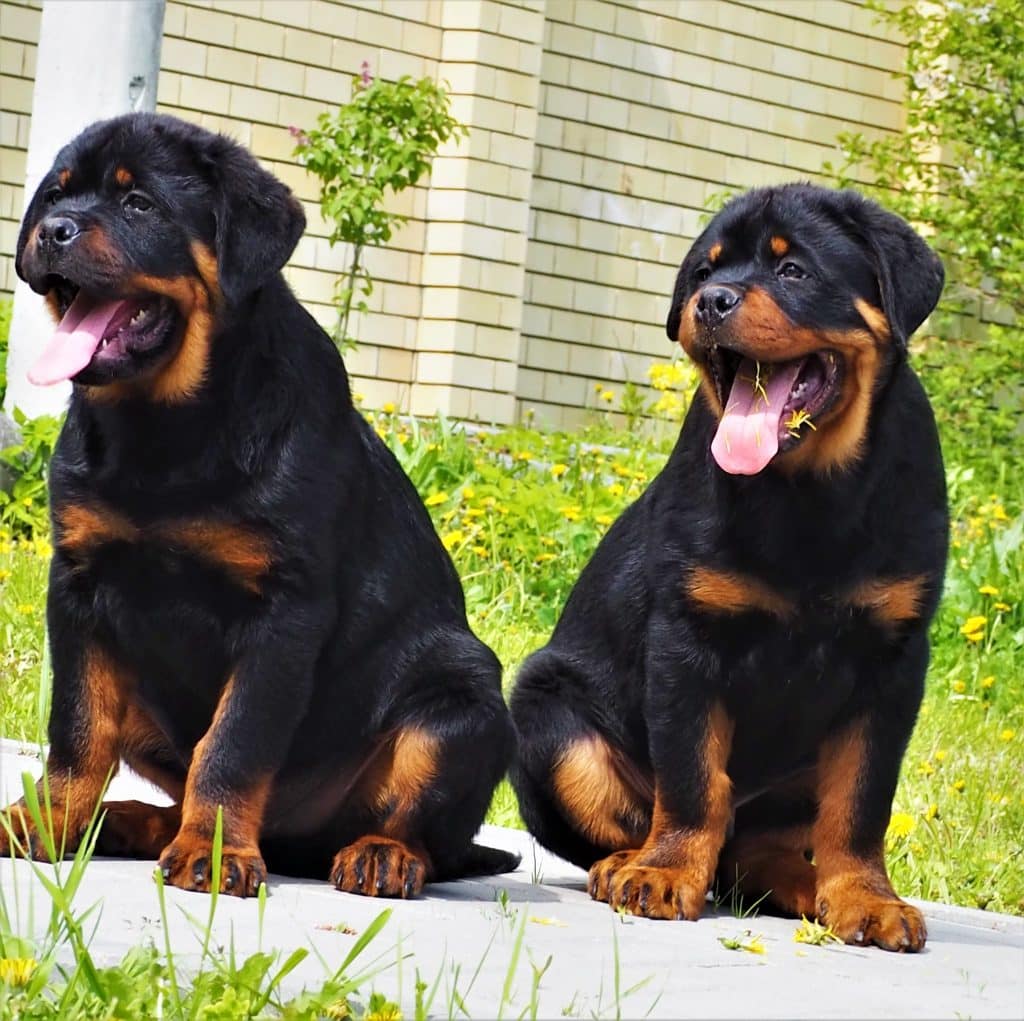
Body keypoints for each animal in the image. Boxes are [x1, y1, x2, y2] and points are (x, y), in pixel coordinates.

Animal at [0, 109, 516, 892]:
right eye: (55, 196)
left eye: (138, 204)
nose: (53, 230)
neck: (165, 430)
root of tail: (299, 840)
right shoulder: (79, 586)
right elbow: (79, 730)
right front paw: (49, 821)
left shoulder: (285, 610)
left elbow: (235, 741)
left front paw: (214, 851)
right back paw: (124, 822)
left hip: (466, 693)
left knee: (425, 831)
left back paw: (380, 854)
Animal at [507, 181, 946, 946]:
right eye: (704, 273)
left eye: (793, 270)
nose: (711, 302)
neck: (809, 493)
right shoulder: (687, 639)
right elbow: (692, 780)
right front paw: (663, 871)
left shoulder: (893, 660)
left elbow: (860, 802)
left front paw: (866, 897)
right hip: (547, 719)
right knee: (650, 827)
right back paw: (628, 862)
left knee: (757, 850)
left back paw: (804, 885)